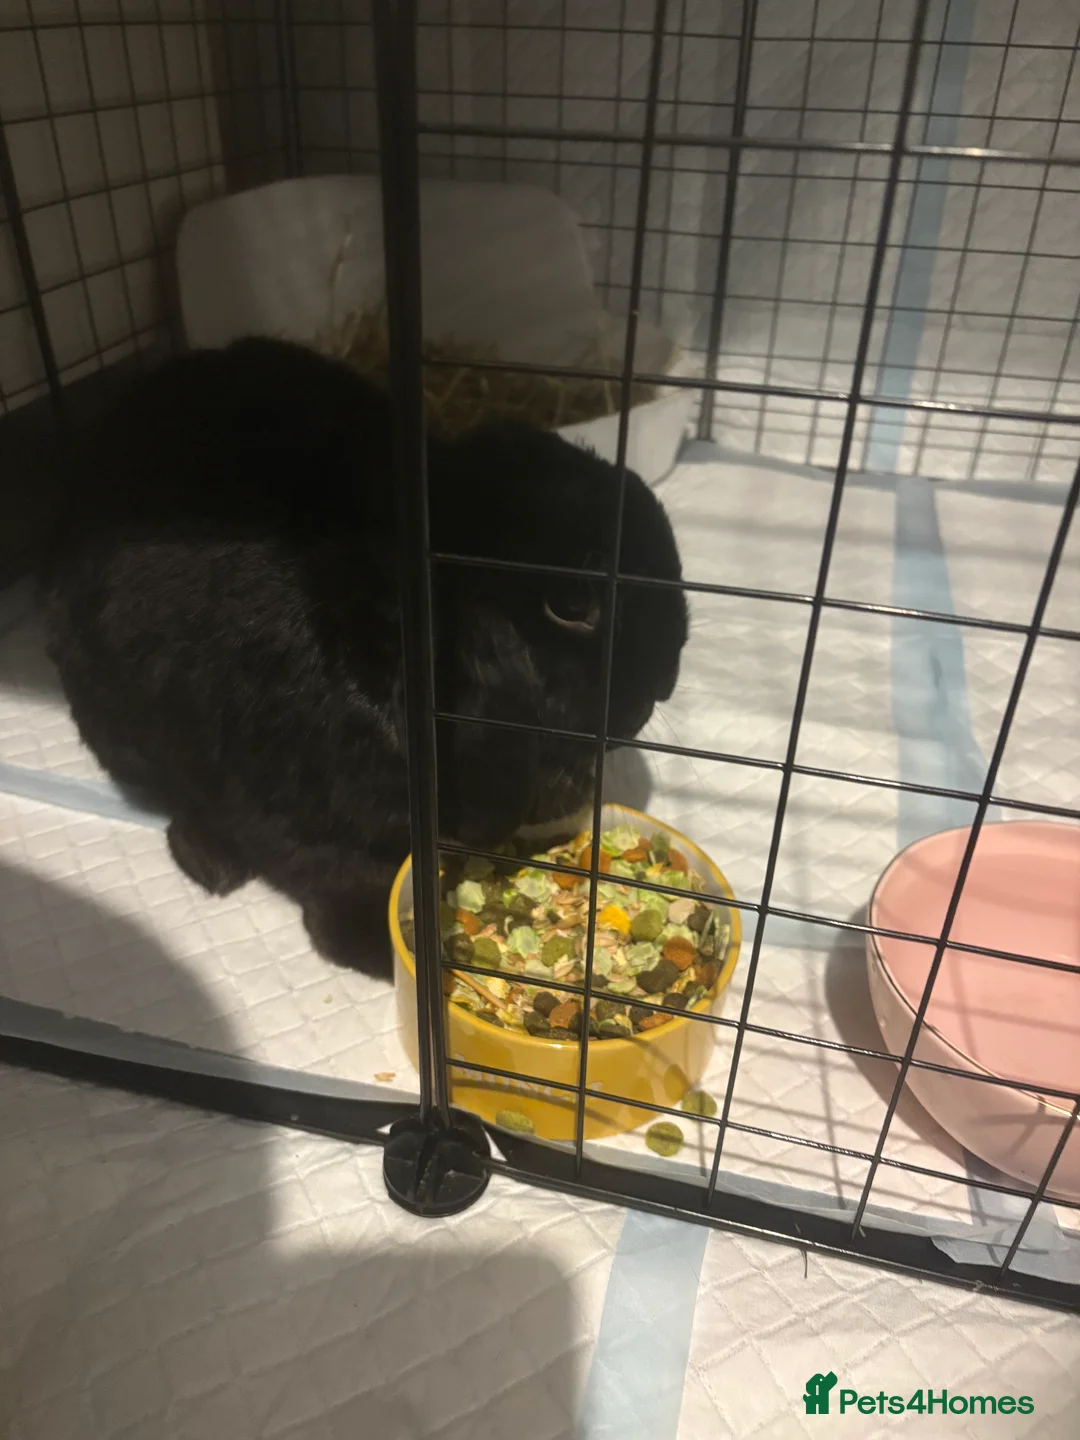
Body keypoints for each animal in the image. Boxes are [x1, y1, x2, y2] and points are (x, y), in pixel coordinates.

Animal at [40, 336, 688, 977]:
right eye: (572, 604)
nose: (662, 685)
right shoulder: (299, 818)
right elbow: (340, 873)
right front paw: (385, 950)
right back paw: (212, 862)